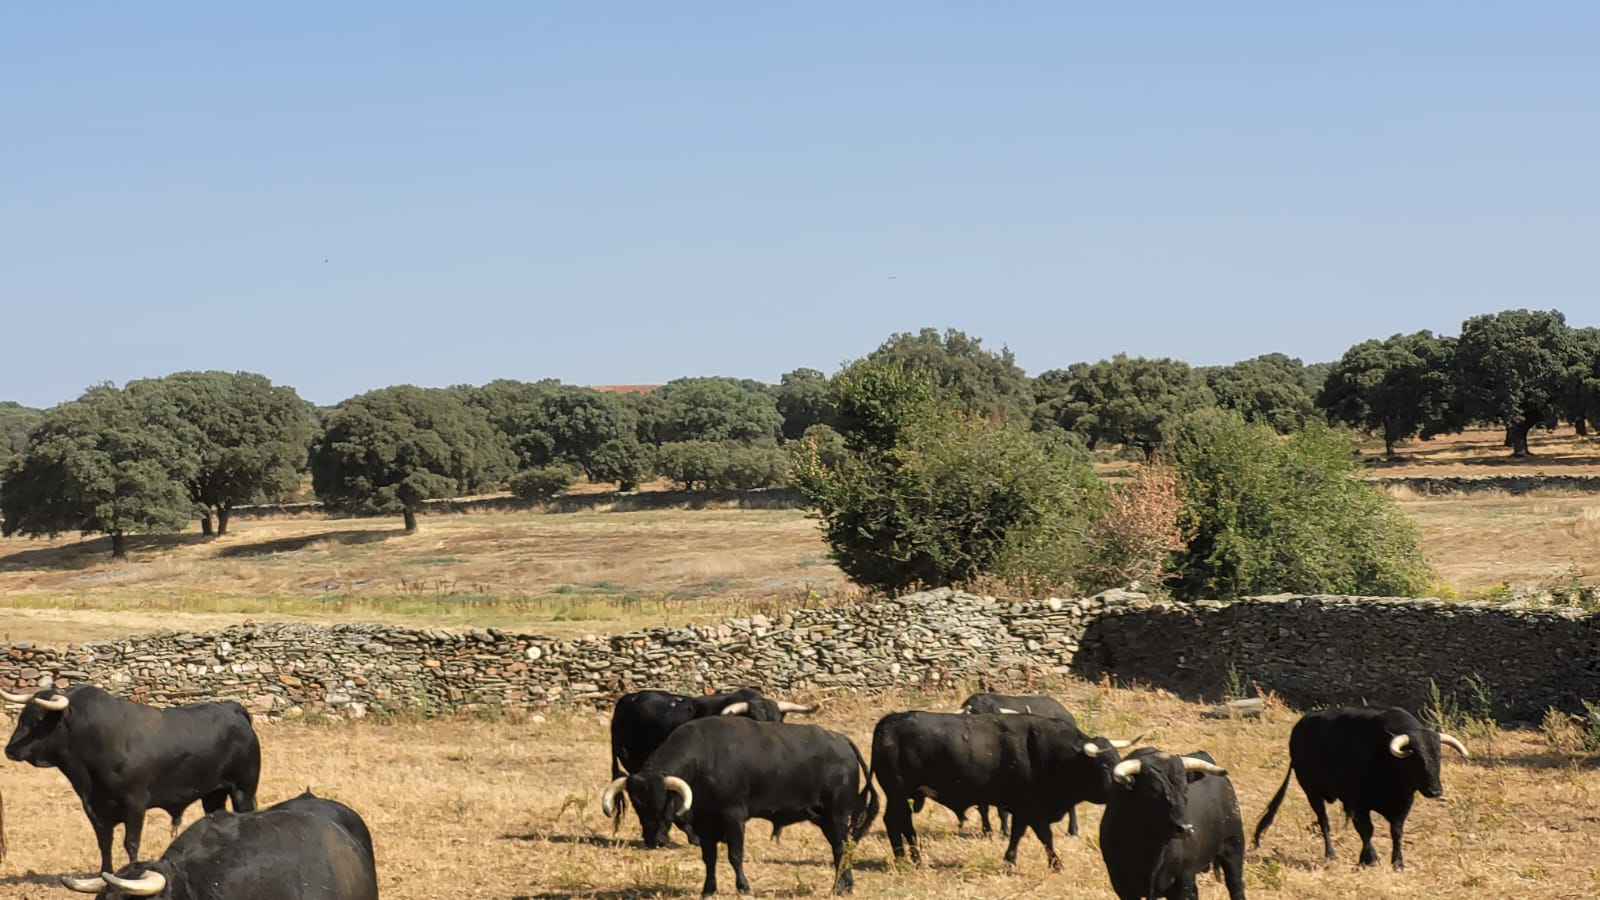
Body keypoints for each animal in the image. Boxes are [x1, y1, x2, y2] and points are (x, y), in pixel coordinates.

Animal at [2, 682, 259, 871]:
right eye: (21, 717)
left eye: (37, 720)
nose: (10, 750)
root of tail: (231, 708)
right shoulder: (94, 808)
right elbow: (104, 843)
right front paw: (104, 874)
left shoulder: (135, 804)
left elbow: (131, 842)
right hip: (213, 794)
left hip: (243, 790)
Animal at [601, 711, 876, 890]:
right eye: (637, 804)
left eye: (664, 801)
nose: (653, 840)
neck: (704, 759)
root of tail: (841, 741)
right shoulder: (705, 824)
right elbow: (709, 858)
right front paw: (708, 890)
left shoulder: (733, 818)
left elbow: (735, 855)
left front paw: (744, 887)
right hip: (824, 817)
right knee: (843, 848)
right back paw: (846, 885)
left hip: (837, 815)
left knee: (840, 848)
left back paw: (838, 887)